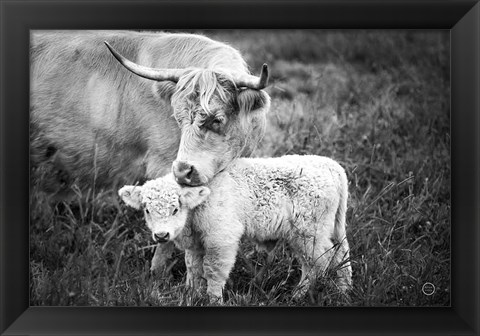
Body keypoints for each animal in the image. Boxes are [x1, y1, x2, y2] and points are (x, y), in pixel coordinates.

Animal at [120, 155, 352, 302]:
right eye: (147, 210)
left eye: (176, 208)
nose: (161, 235)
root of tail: (331, 165)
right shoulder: (196, 244)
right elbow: (193, 267)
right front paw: (191, 294)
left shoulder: (221, 238)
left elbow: (213, 270)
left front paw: (213, 299)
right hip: (333, 227)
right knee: (341, 254)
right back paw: (344, 291)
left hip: (308, 232)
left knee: (317, 263)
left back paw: (298, 295)